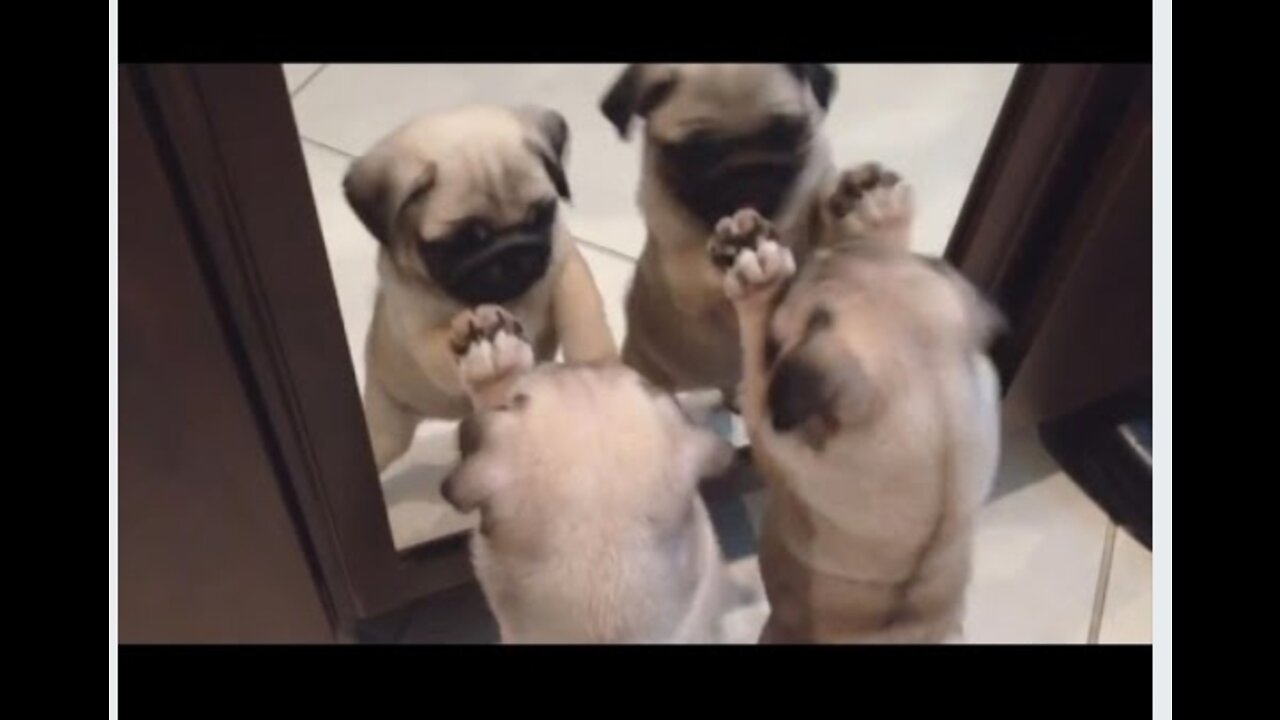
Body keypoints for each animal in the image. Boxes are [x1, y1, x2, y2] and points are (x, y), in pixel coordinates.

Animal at [343, 103, 616, 468]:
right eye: (466, 240)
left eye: (540, 217)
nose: (513, 253)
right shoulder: (422, 337)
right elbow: (444, 349)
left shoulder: (565, 266)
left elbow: (583, 318)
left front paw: (598, 364)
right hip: (388, 428)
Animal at [711, 167, 998, 638]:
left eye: (798, 315)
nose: (809, 255)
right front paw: (881, 214)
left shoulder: (775, 439)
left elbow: (756, 359)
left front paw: (758, 280)